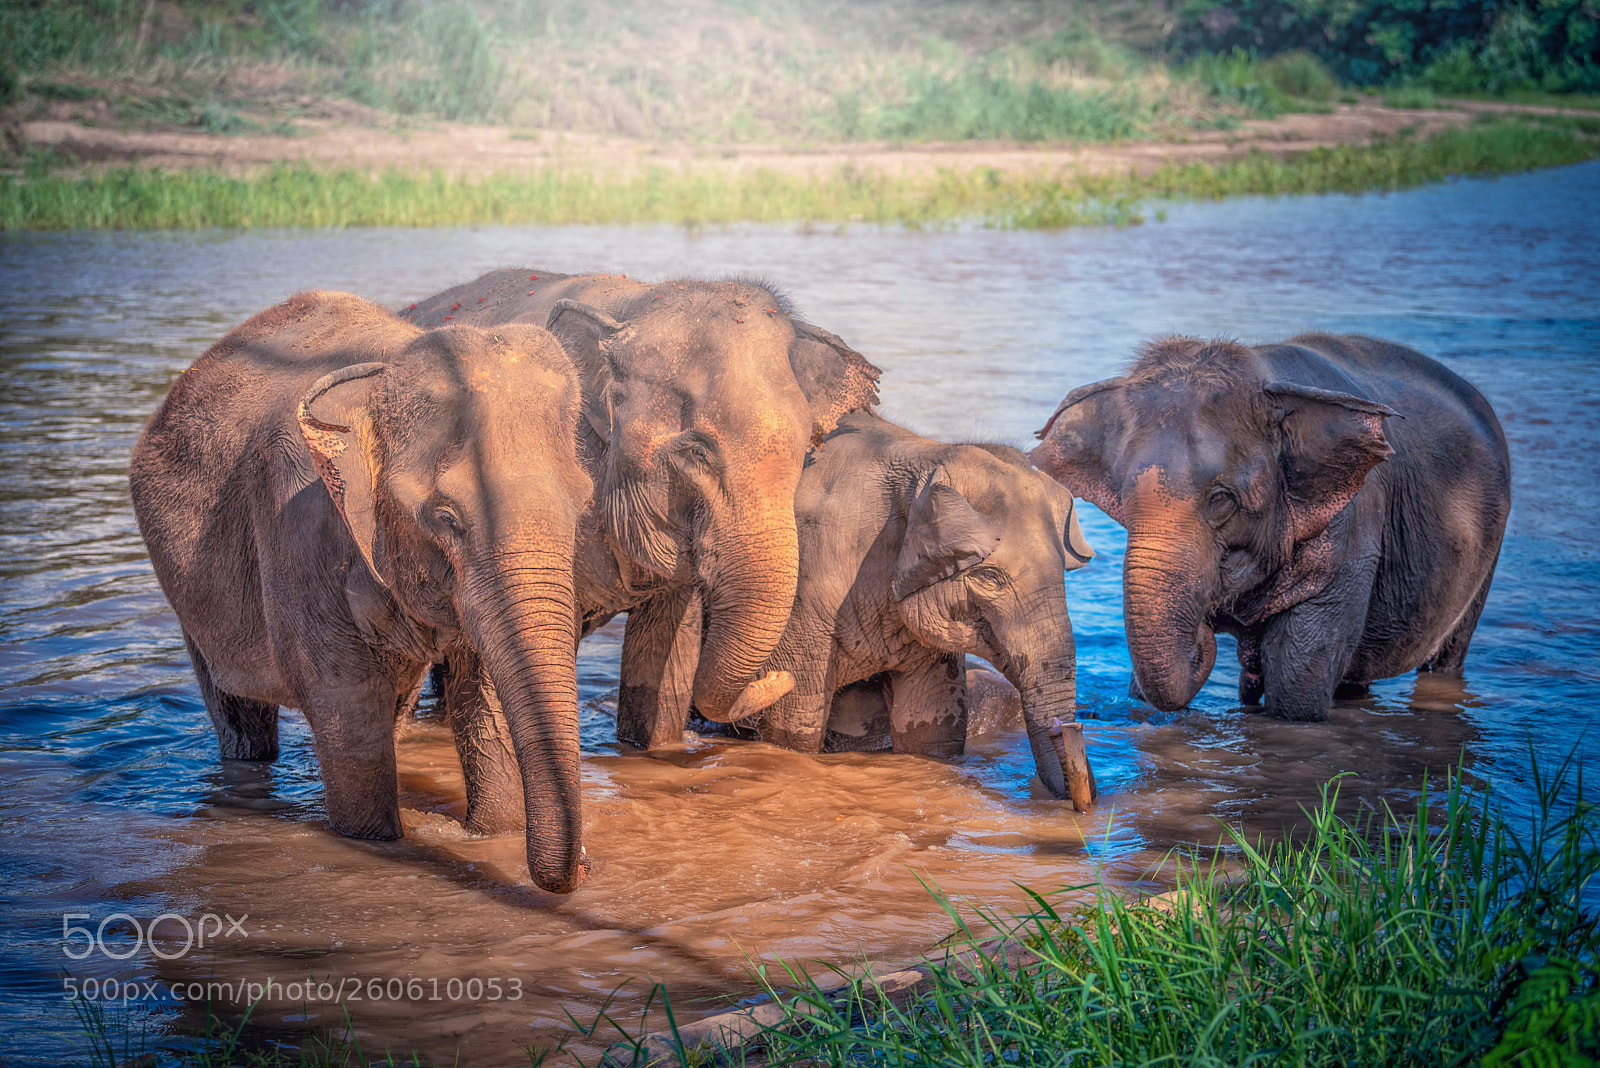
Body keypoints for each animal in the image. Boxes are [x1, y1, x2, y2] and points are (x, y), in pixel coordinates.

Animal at [129, 292, 596, 894]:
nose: (585, 863)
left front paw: (493, 834)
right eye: (446, 518)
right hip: (190, 597)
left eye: (583, 507)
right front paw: (374, 841)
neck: (383, 374)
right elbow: (345, 702)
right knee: (240, 715)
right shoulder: (298, 523)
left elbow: (484, 692)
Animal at [403, 270, 880, 794]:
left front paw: (654, 752)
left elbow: (666, 656)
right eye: (697, 451)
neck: (640, 304)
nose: (780, 679)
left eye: (806, 452)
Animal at [713, 412, 1099, 809]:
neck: (929, 456)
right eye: (990, 577)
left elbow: (930, 729)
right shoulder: (804, 591)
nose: (1070, 728)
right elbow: (795, 726)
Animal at [1030, 333, 1510, 723]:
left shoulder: (1353, 530)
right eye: (1125, 498)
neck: (1266, 376)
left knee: (1447, 656)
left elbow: (1297, 687)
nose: (1203, 634)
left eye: (1221, 499)